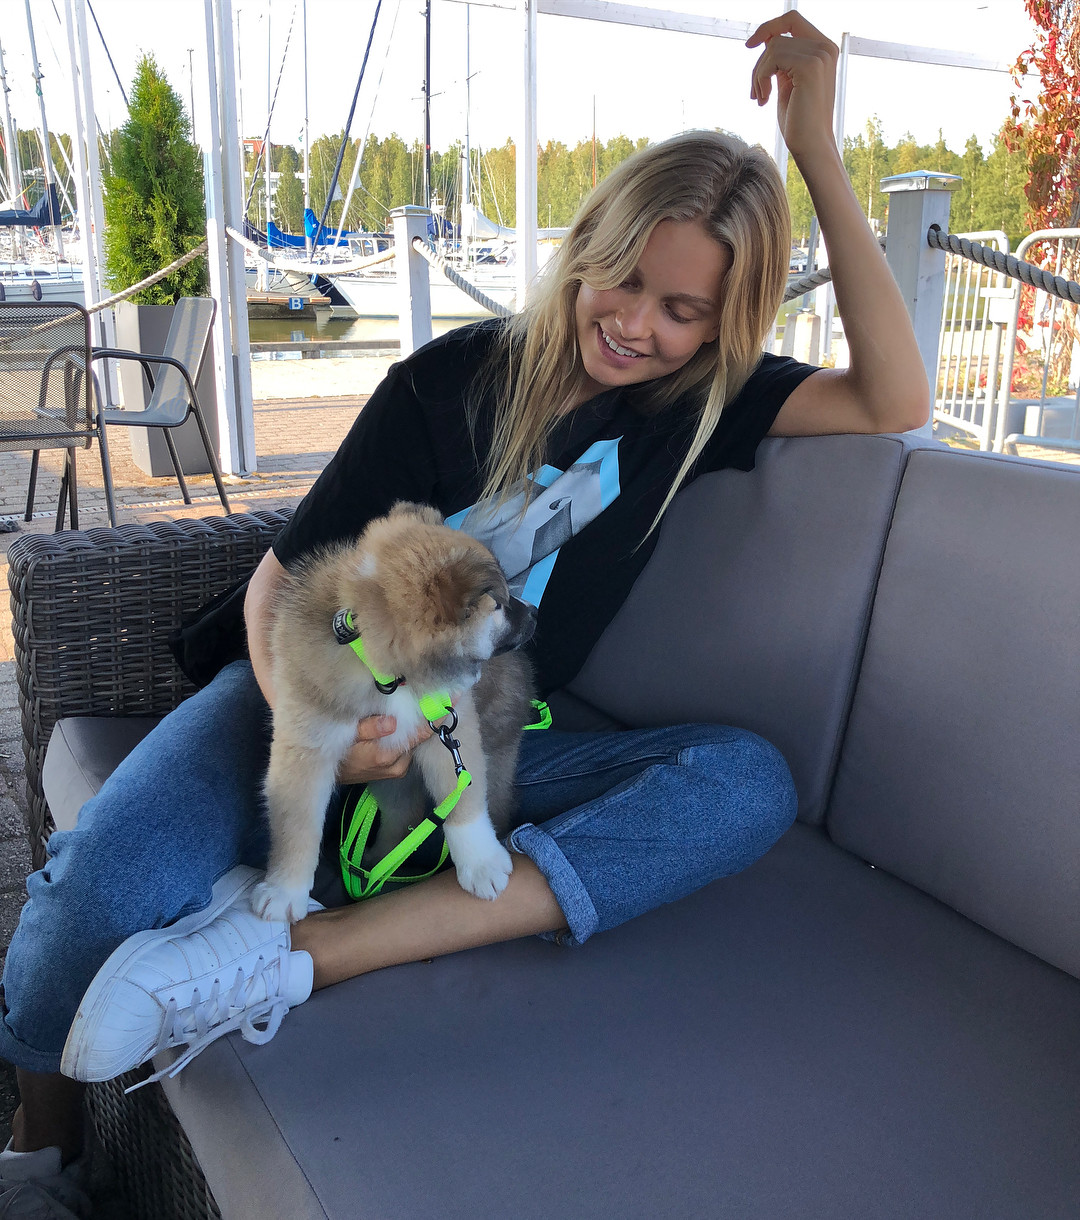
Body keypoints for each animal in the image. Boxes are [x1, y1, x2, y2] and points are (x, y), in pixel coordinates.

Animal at [251, 502, 537, 924]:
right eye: (499, 604)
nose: (534, 614)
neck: (387, 676)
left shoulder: (450, 730)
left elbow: (464, 799)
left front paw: (481, 861)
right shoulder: (306, 745)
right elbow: (296, 825)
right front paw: (285, 890)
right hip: (392, 783)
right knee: (399, 821)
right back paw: (373, 867)